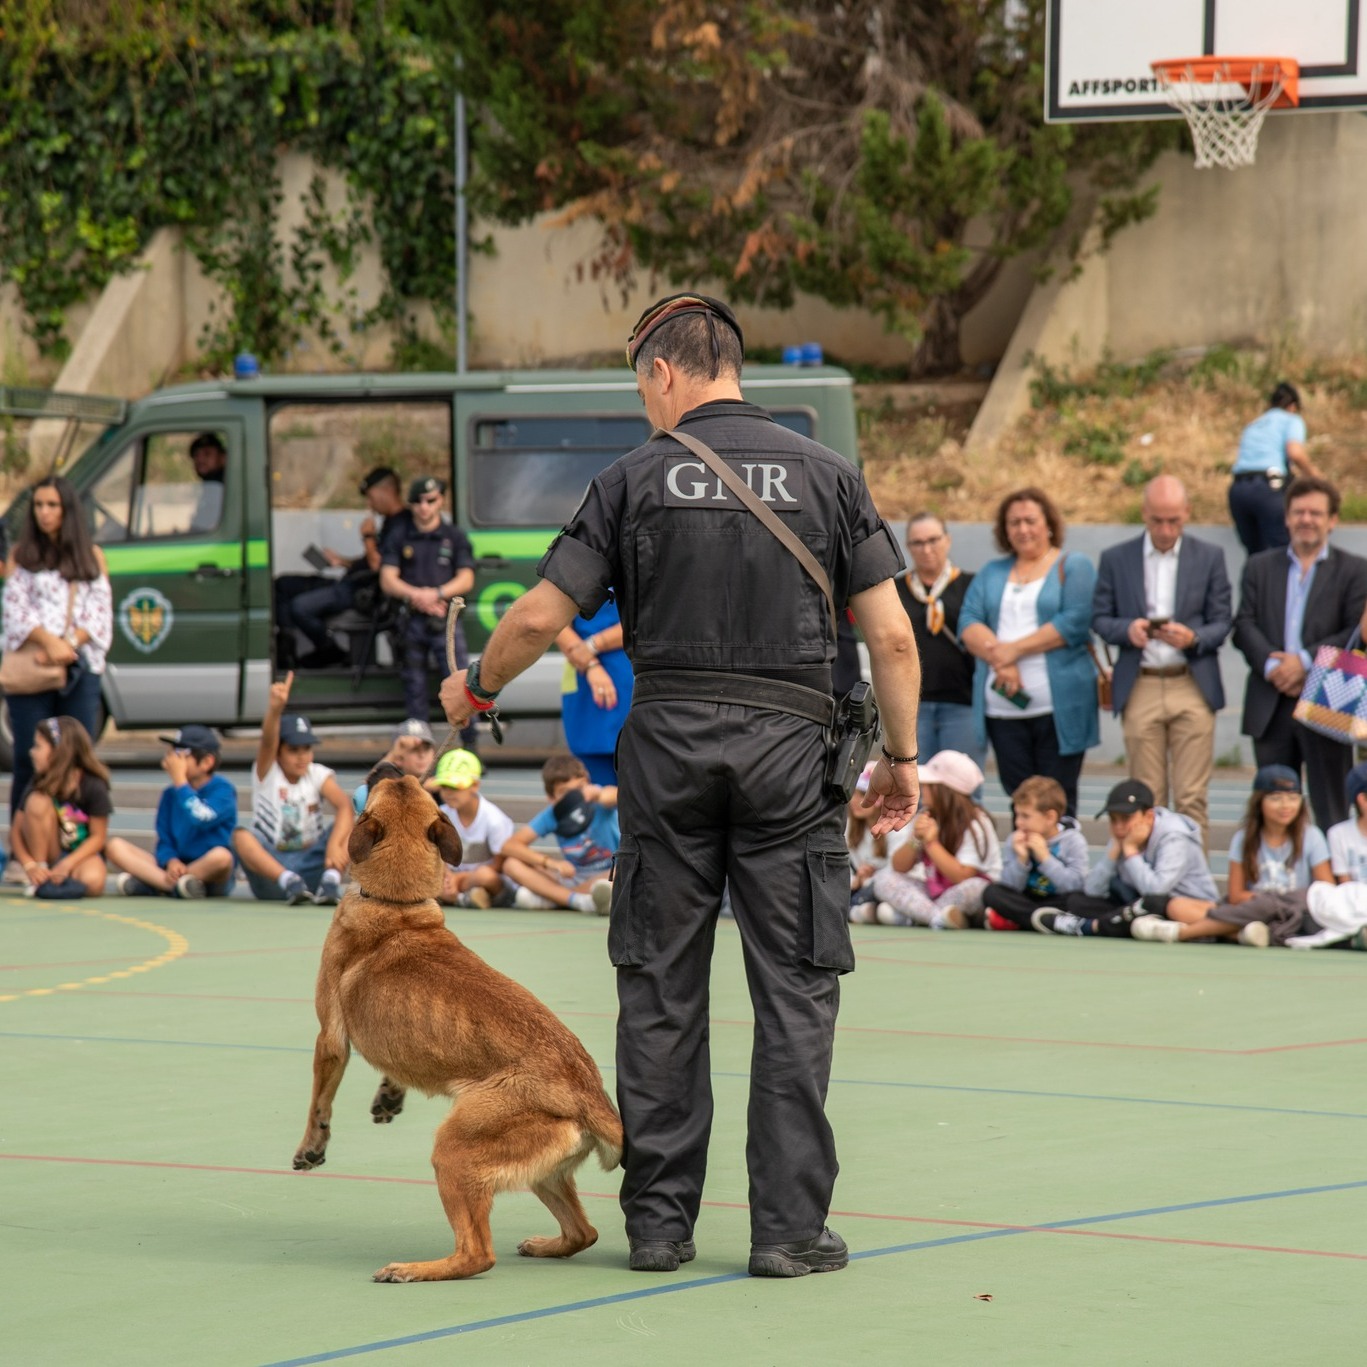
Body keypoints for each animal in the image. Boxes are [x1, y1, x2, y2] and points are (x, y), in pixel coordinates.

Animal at [296, 781, 626, 1279]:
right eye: (404, 782)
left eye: (381, 782)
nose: (388, 767)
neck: (398, 905)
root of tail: (587, 1092)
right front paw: (389, 1096)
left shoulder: (330, 1040)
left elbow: (319, 1104)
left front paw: (311, 1148)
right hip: (541, 1173)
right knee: (582, 1233)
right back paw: (545, 1245)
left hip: (453, 1151)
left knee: (477, 1254)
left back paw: (416, 1269)